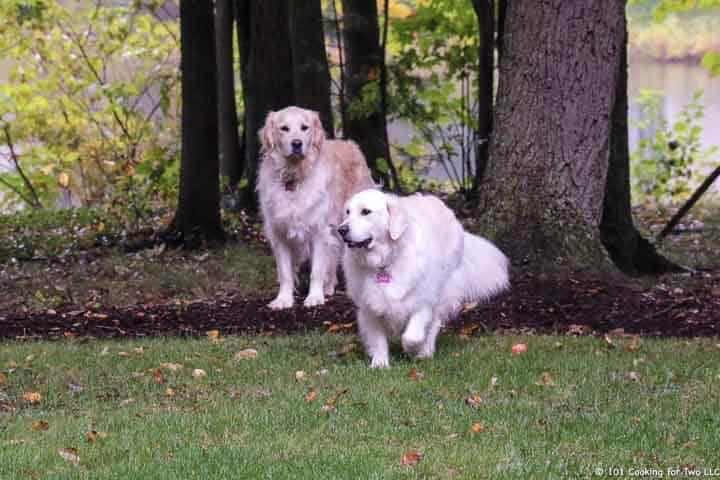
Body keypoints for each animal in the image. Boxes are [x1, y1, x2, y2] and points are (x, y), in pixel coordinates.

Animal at [258, 106, 374, 310]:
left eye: (304, 127)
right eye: (284, 128)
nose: (297, 143)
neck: (294, 176)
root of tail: (350, 144)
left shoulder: (319, 231)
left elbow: (317, 269)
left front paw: (314, 297)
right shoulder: (279, 233)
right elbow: (285, 273)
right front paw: (283, 299)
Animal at [340, 190, 510, 368]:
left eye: (366, 211)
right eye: (348, 212)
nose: (341, 230)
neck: (385, 262)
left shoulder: (423, 302)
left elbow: (411, 337)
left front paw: (413, 351)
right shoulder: (369, 306)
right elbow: (377, 338)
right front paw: (380, 363)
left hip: (444, 291)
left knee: (434, 324)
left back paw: (426, 351)